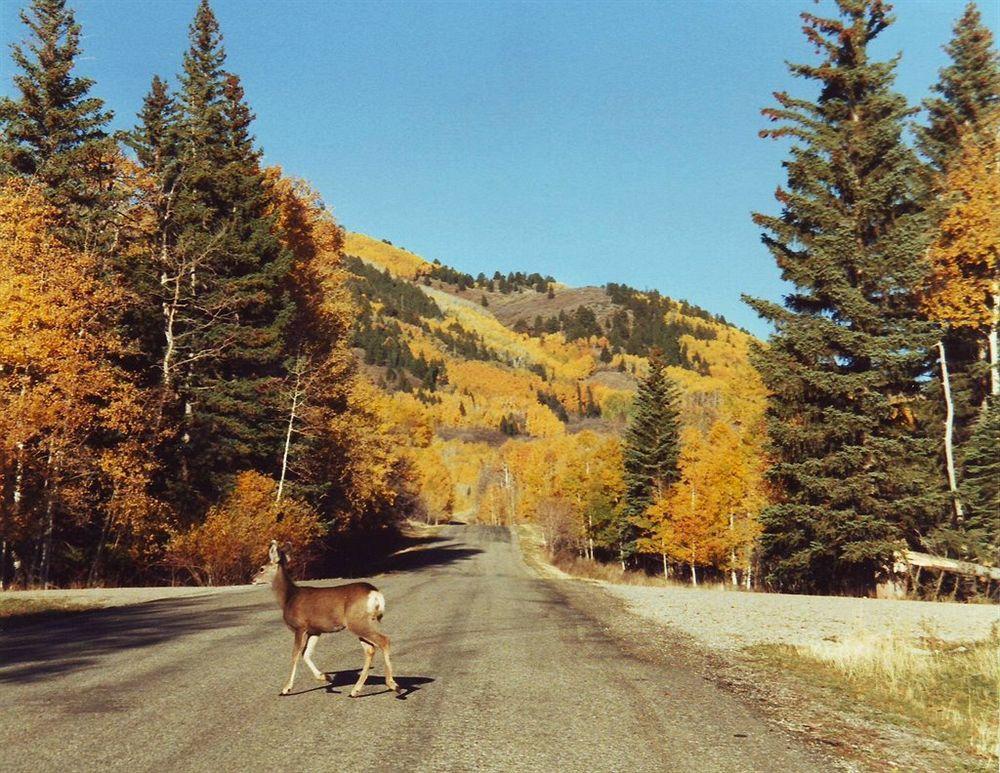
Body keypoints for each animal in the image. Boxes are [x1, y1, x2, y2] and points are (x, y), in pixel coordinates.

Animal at [254, 540, 402, 696]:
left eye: (262, 568)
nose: (253, 579)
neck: (289, 598)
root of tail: (375, 593)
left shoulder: (300, 627)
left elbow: (295, 655)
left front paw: (286, 688)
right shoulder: (315, 630)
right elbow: (306, 654)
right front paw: (325, 677)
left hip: (357, 622)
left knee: (384, 640)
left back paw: (393, 685)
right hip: (363, 622)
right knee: (370, 649)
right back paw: (355, 690)